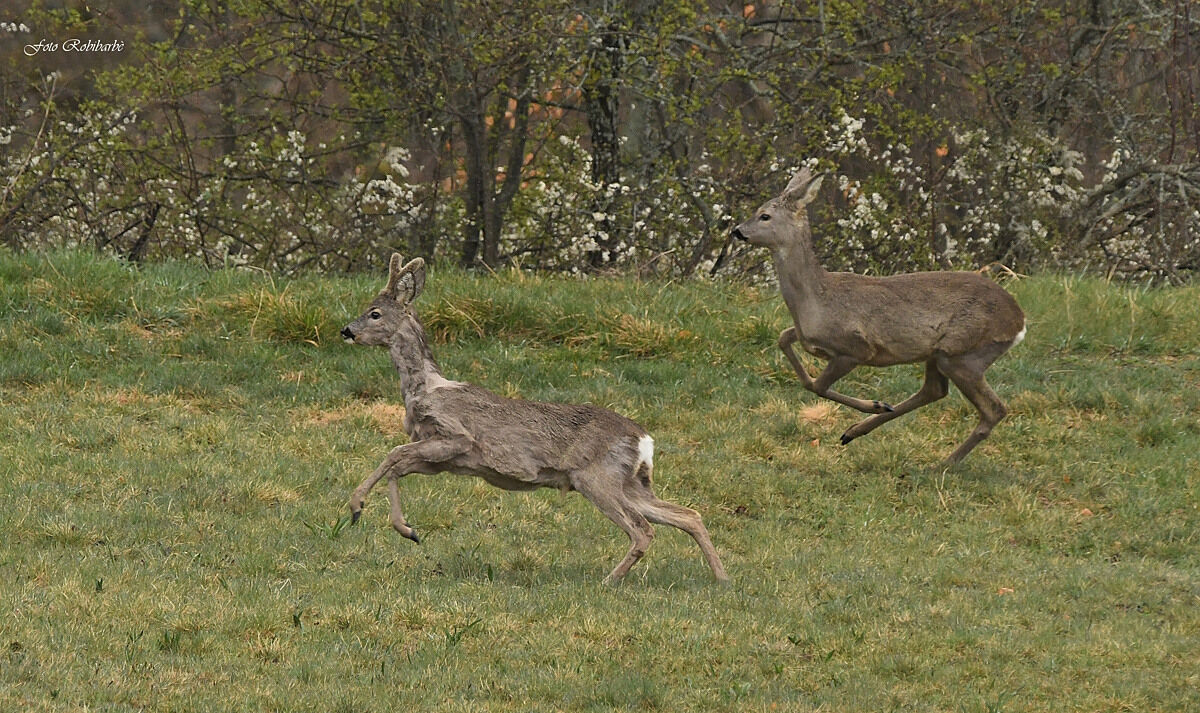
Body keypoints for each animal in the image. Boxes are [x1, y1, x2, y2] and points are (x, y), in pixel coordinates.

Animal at [340, 254, 728, 583]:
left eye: (374, 313)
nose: (347, 331)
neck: (424, 388)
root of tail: (643, 439)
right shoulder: (444, 458)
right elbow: (398, 466)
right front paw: (405, 528)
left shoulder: (456, 437)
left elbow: (393, 455)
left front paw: (360, 508)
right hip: (631, 482)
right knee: (688, 516)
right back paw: (722, 578)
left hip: (596, 477)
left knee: (643, 530)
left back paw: (608, 581)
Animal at [731, 167, 1026, 466]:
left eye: (765, 215)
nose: (737, 231)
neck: (815, 298)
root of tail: (1019, 320)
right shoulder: (805, 336)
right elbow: (785, 342)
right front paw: (876, 406)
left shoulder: (856, 348)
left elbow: (818, 386)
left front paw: (873, 403)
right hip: (940, 354)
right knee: (935, 390)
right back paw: (858, 429)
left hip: (963, 352)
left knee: (993, 408)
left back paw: (943, 463)